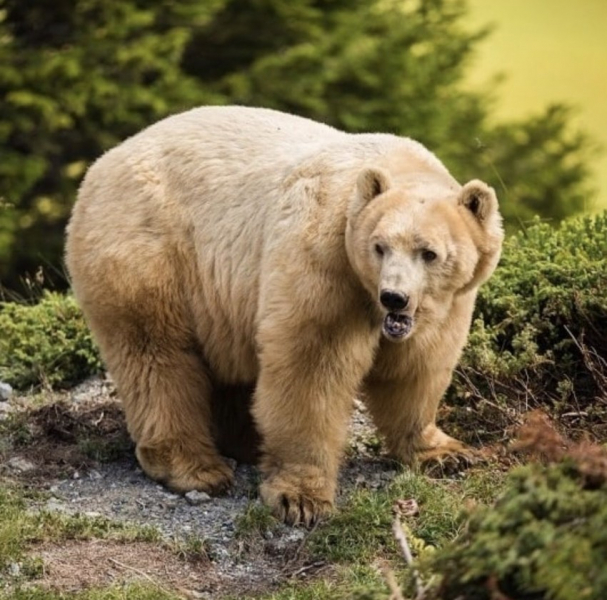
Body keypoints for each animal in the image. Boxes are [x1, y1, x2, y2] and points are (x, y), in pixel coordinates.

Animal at [65, 106, 504, 524]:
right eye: (379, 247)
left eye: (429, 252)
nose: (394, 297)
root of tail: (100, 165)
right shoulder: (326, 261)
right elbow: (311, 367)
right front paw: (302, 498)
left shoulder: (445, 305)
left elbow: (417, 368)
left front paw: (446, 452)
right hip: (149, 248)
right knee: (157, 354)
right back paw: (195, 467)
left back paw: (243, 441)